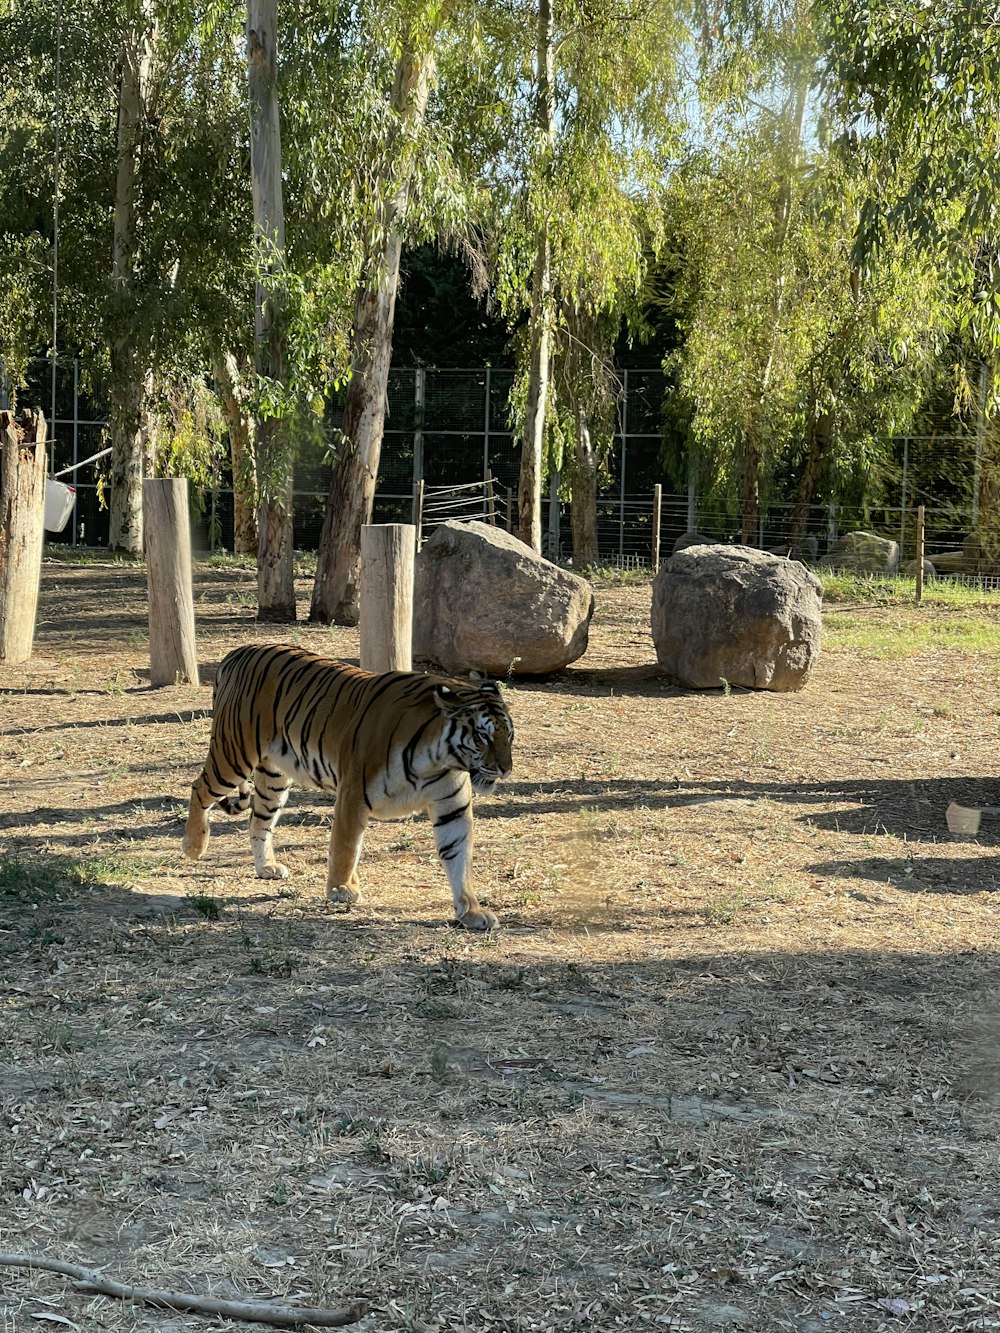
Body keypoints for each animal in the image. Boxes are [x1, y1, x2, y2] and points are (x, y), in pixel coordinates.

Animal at [178, 642, 517, 933]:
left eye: (508, 736)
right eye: (483, 737)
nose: (506, 768)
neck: (439, 758)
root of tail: (237, 652)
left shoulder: (452, 808)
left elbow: (459, 856)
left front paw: (471, 911)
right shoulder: (354, 793)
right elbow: (346, 844)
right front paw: (341, 888)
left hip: (274, 778)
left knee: (258, 821)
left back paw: (268, 868)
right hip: (233, 755)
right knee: (199, 788)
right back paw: (194, 846)